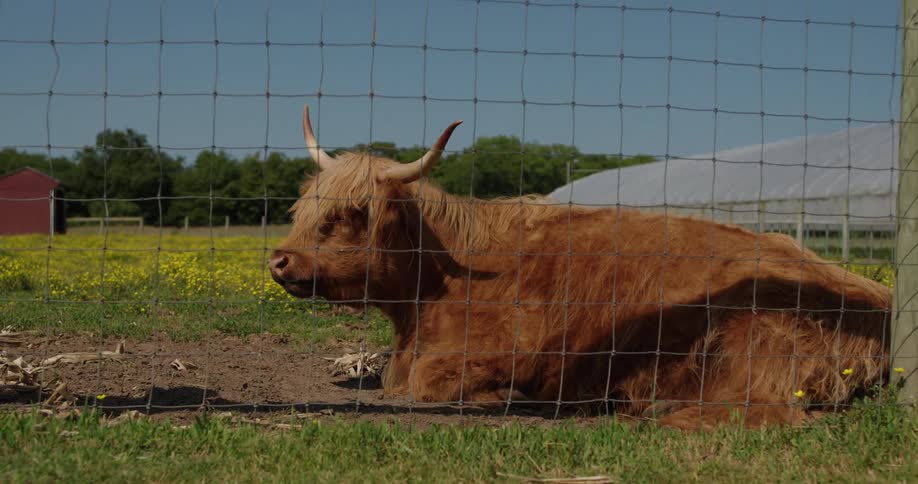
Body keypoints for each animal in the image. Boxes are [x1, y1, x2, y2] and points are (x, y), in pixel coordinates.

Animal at [270, 105, 891, 429]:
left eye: (348, 215)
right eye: (303, 209)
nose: (278, 259)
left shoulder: (499, 352)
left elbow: (424, 383)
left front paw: (507, 398)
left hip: (758, 339)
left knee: (764, 409)